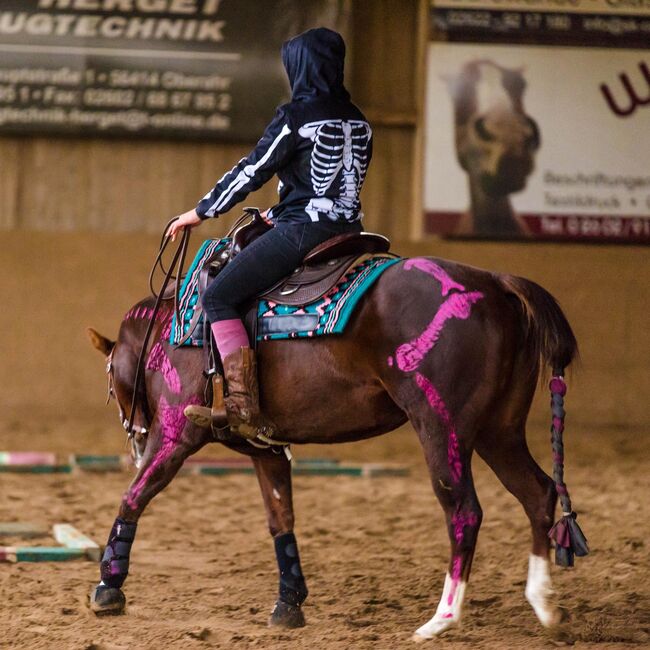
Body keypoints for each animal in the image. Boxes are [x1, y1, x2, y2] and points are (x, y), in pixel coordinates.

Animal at [86, 249, 584, 636]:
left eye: (109, 377)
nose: (135, 439)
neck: (170, 332)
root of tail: (495, 284)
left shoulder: (175, 433)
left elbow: (134, 497)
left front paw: (108, 586)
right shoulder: (267, 448)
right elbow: (280, 519)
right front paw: (289, 603)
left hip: (443, 429)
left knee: (464, 512)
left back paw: (441, 619)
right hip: (499, 432)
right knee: (538, 492)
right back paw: (544, 605)